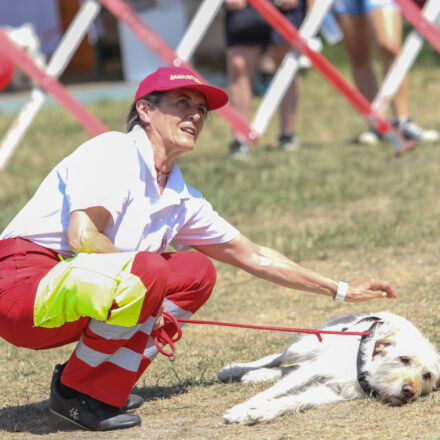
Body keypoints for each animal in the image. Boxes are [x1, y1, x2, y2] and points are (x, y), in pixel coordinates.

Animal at [217, 312, 440, 424]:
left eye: (427, 375)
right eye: (404, 359)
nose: (410, 391)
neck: (367, 372)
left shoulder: (333, 391)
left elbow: (292, 400)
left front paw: (261, 412)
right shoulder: (313, 370)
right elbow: (272, 392)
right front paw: (240, 410)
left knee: (289, 367)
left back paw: (256, 375)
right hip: (305, 347)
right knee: (279, 358)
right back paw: (233, 370)